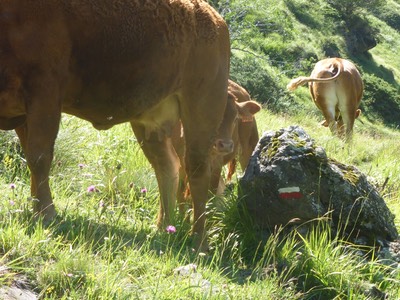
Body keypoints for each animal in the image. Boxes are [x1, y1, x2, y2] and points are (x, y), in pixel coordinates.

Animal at [0, 0, 230, 251]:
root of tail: (215, 20)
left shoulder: (44, 91)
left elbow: (39, 157)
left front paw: (45, 213)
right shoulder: (24, 110)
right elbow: (32, 159)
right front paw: (36, 208)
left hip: (200, 112)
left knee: (197, 170)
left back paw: (199, 241)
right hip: (149, 122)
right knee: (167, 167)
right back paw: (163, 228)